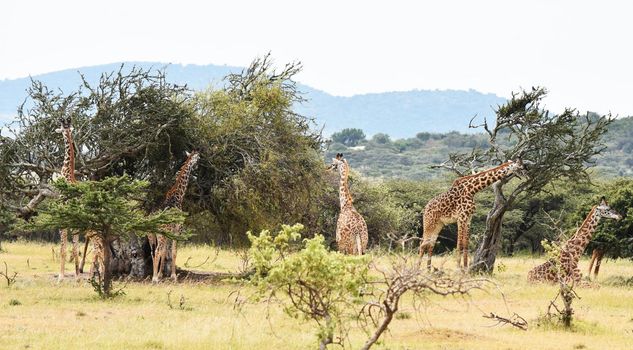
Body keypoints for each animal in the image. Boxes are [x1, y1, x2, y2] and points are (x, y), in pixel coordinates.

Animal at [151, 150, 199, 282]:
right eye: (198, 158)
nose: (196, 173)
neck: (178, 196)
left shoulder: (169, 232)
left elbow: (165, 252)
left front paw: (161, 274)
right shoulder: (178, 229)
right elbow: (173, 251)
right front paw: (173, 276)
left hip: (155, 234)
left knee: (156, 251)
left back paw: (155, 276)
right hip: (160, 233)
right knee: (157, 250)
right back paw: (154, 278)